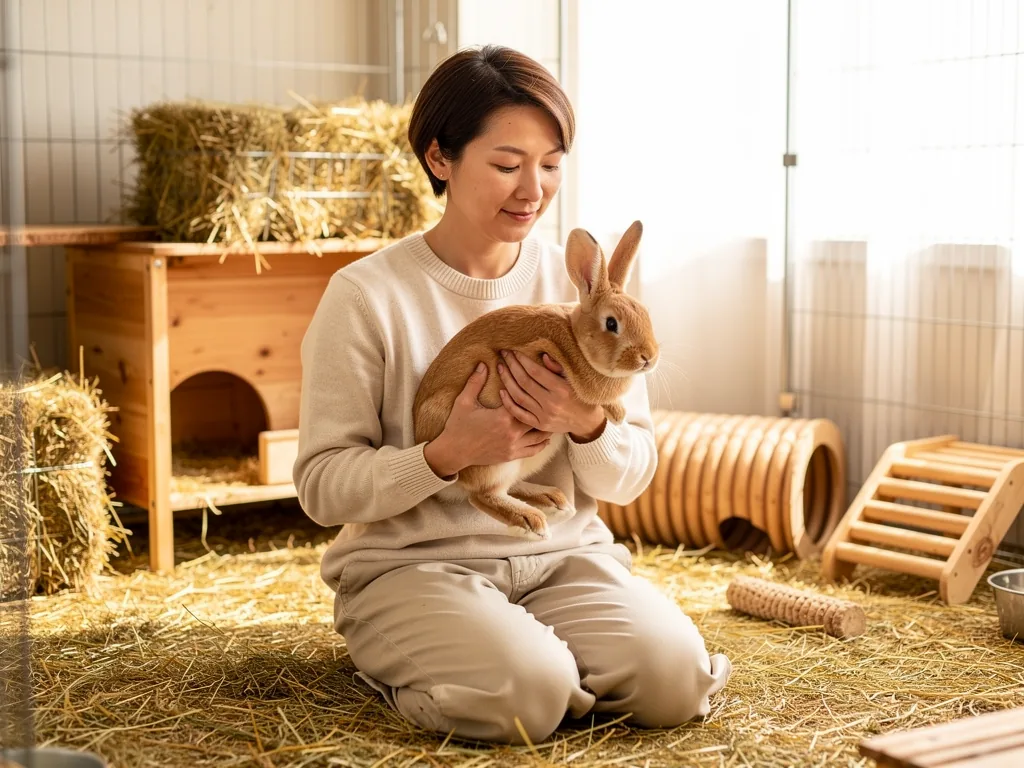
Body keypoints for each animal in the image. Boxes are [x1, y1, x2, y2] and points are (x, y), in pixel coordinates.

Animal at [412, 220, 659, 540]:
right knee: (481, 495)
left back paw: (551, 499)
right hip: (493, 460)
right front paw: (618, 412)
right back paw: (532, 521)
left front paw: (618, 412)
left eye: (645, 314)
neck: (576, 340)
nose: (649, 358)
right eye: (611, 323)